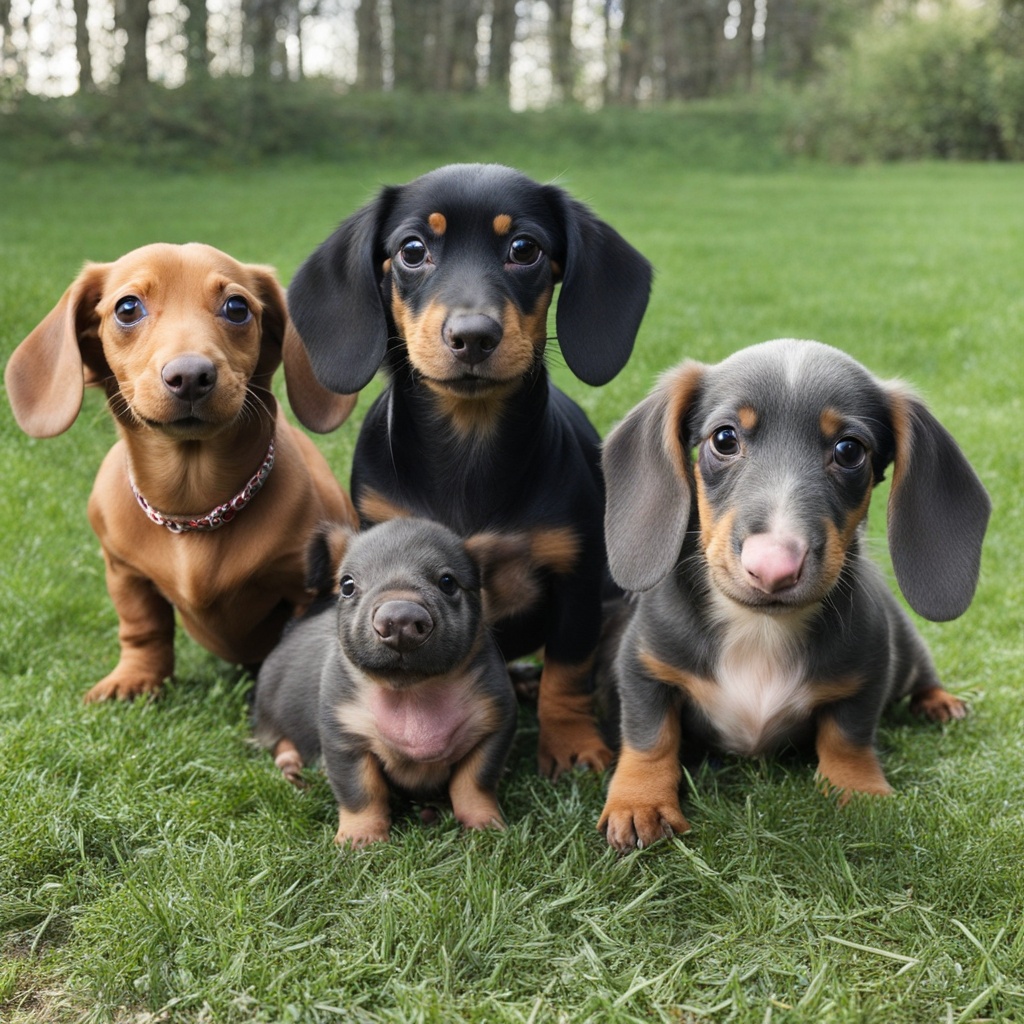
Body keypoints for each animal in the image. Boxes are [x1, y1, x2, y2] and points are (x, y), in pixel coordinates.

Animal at [5, 242, 358, 703]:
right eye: (127, 308)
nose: (190, 376)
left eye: (237, 308)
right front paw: (135, 678)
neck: (195, 507)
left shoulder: (305, 588)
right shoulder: (124, 572)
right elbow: (143, 627)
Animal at [254, 515, 566, 847]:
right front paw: (359, 841)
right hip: (269, 710)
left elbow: (474, 783)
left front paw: (486, 828)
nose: (399, 619)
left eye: (447, 582)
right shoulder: (344, 737)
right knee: (279, 740)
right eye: (347, 585)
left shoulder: (494, 725)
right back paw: (291, 766)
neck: (412, 693)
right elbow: (361, 792)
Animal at [283, 163, 653, 778]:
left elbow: (568, 670)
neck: (469, 446)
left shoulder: (574, 577)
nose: (473, 336)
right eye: (412, 250)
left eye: (524, 249)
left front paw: (570, 742)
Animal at [596, 339, 991, 852]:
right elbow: (649, 733)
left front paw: (857, 789)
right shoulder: (642, 665)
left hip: (908, 651)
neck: (760, 630)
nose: (773, 568)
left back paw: (941, 702)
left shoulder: (868, 673)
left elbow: (848, 733)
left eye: (849, 450)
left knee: (924, 677)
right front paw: (639, 800)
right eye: (724, 439)